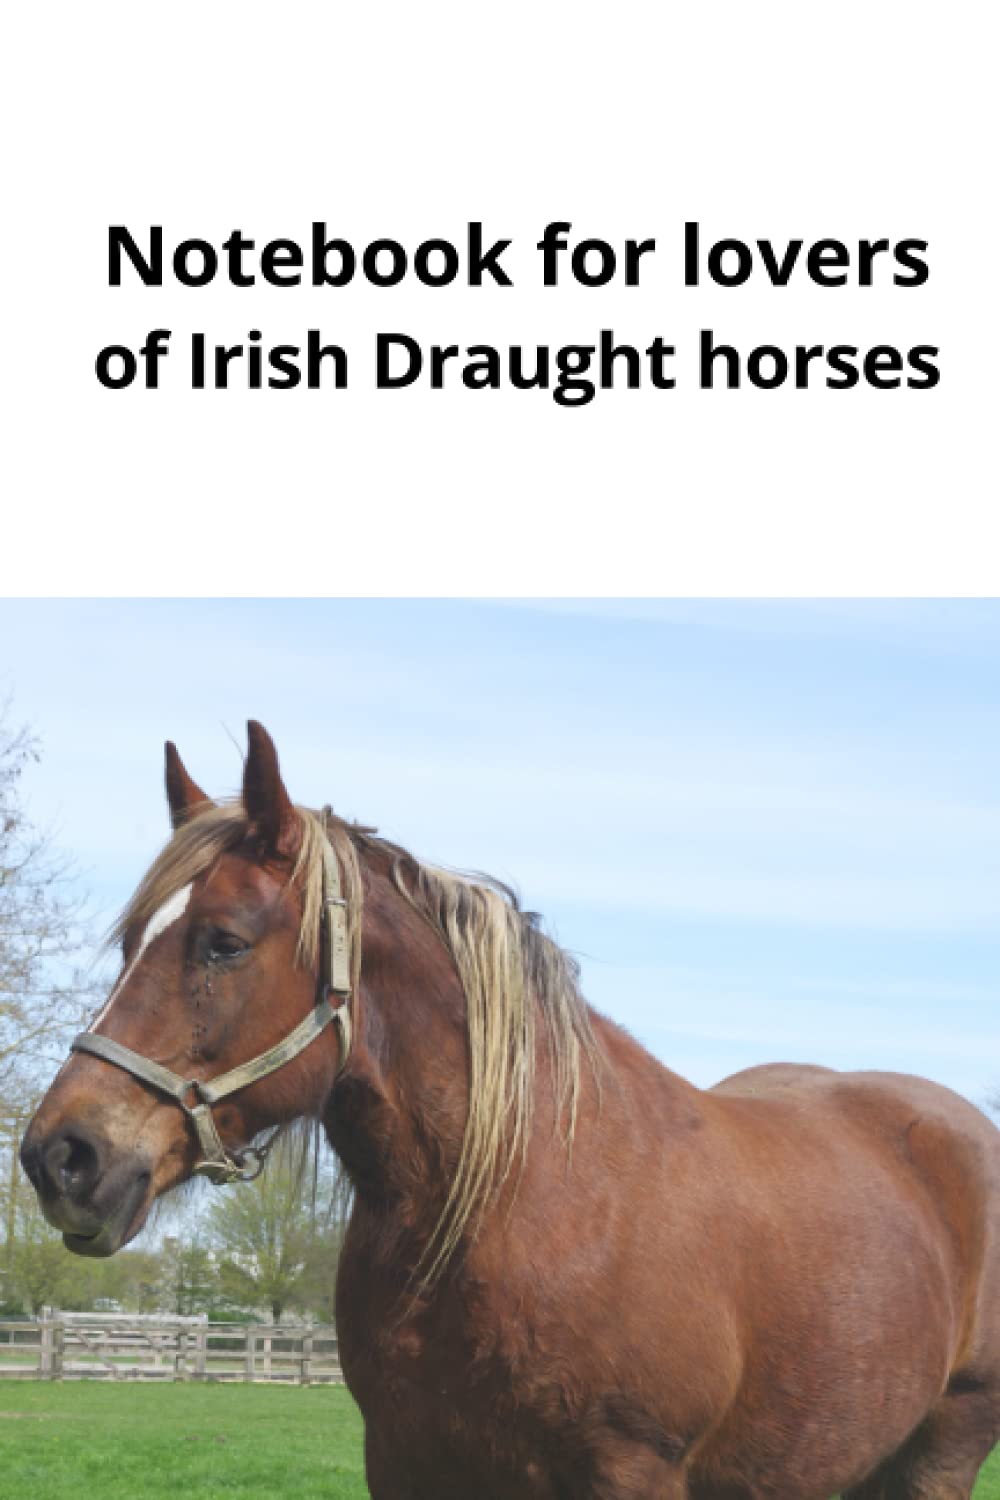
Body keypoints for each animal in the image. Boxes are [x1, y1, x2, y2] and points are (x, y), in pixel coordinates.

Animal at [19, 721, 1000, 1500]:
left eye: (224, 943)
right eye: (129, 943)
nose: (61, 1156)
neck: (522, 1203)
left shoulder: (631, 1472)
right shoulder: (407, 1464)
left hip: (942, 1448)